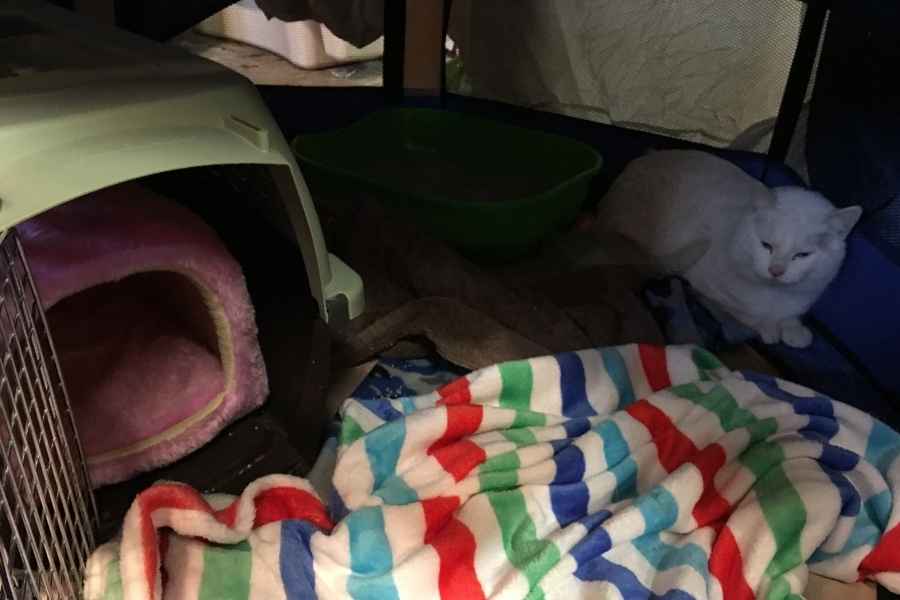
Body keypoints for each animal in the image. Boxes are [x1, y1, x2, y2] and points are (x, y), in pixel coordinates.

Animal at [592, 149, 856, 352]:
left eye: (802, 255)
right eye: (766, 245)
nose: (776, 271)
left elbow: (791, 313)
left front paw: (794, 330)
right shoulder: (706, 287)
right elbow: (745, 313)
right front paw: (770, 329)